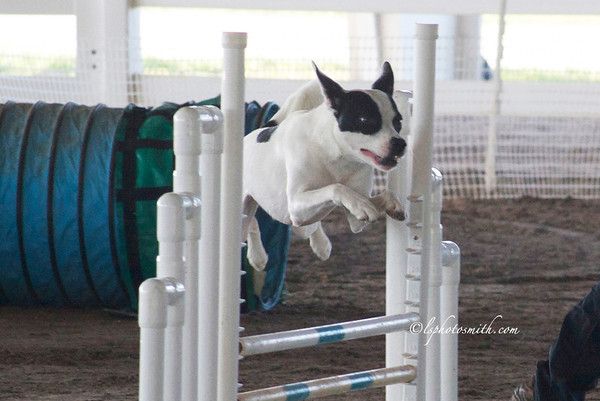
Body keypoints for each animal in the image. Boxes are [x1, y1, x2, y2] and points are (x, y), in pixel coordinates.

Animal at [242, 62, 410, 275]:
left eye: (398, 121)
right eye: (365, 120)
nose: (400, 143)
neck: (337, 156)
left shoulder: (355, 220)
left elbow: (374, 198)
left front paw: (390, 204)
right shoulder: (295, 204)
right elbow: (336, 187)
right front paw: (361, 204)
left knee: (299, 226)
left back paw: (320, 244)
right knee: (251, 221)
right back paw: (258, 256)